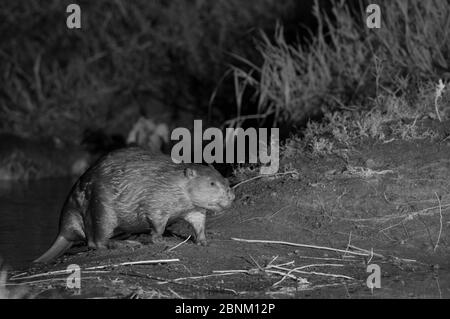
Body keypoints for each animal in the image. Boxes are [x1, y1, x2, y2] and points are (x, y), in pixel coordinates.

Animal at [34, 148, 236, 262]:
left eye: (225, 179)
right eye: (212, 183)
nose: (231, 195)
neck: (174, 181)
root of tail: (64, 230)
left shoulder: (192, 208)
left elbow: (198, 221)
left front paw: (204, 240)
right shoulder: (157, 197)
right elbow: (156, 219)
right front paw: (159, 238)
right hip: (101, 208)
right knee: (96, 241)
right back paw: (128, 243)